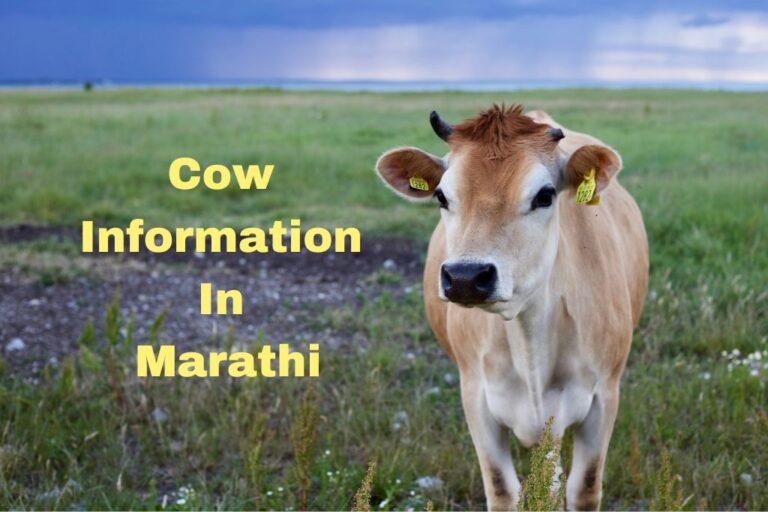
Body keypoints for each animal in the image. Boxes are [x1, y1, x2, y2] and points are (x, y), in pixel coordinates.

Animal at [374, 104, 648, 511]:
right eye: (441, 196)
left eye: (545, 195)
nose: (466, 276)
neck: (529, 337)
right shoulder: (476, 396)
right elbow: (503, 489)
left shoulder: (604, 396)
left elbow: (584, 488)